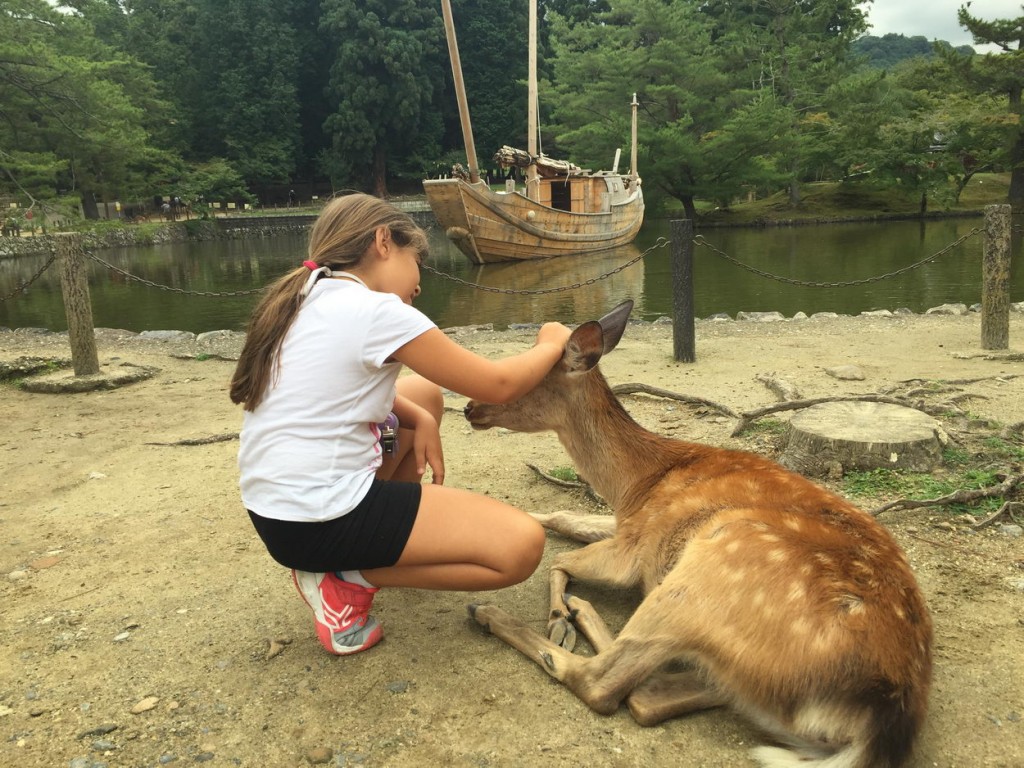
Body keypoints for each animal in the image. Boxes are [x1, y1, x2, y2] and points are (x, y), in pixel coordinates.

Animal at [468, 301, 933, 768]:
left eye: (520, 376)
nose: (470, 407)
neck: (636, 483)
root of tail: (879, 722)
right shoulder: (629, 522)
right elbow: (565, 517)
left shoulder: (633, 547)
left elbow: (559, 559)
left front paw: (558, 617)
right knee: (655, 692)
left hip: (703, 575)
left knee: (607, 685)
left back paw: (511, 613)